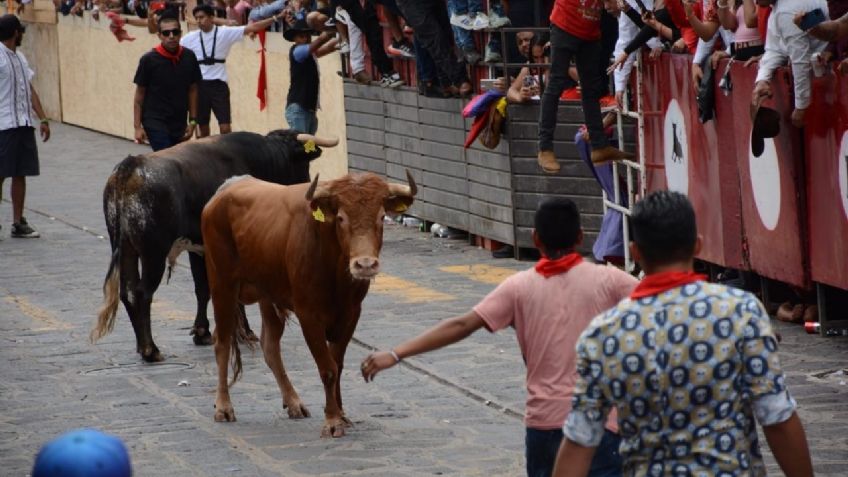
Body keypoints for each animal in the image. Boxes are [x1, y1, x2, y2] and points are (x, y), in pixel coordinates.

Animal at [88, 128, 334, 358]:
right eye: (303, 162)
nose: (305, 191)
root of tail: (129, 167)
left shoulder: (198, 247)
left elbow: (202, 288)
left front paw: (202, 332)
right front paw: (245, 332)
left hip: (126, 248)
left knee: (128, 292)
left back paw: (142, 347)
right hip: (153, 253)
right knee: (142, 293)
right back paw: (150, 349)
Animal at [200, 170, 418, 436]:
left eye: (381, 216)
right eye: (341, 218)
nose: (365, 265)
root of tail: (226, 189)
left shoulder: (351, 315)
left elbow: (337, 364)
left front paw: (341, 414)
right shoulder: (308, 315)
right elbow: (327, 368)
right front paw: (332, 421)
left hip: (267, 295)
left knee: (270, 346)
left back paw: (294, 402)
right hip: (222, 285)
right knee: (221, 342)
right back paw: (223, 406)